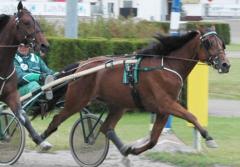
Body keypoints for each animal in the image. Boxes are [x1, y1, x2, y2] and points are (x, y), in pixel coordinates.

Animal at [0, 1, 50, 150]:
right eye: (27, 22)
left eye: (37, 21)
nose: (44, 45)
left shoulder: (11, 94)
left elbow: (22, 116)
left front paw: (40, 140)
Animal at [40, 26, 231, 156]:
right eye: (209, 43)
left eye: (222, 43)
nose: (225, 64)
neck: (168, 66)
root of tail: (81, 66)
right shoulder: (166, 103)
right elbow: (191, 116)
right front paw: (209, 138)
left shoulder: (163, 110)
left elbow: (153, 140)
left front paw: (132, 150)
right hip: (77, 100)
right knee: (56, 120)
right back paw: (40, 140)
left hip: (118, 105)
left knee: (105, 127)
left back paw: (124, 150)